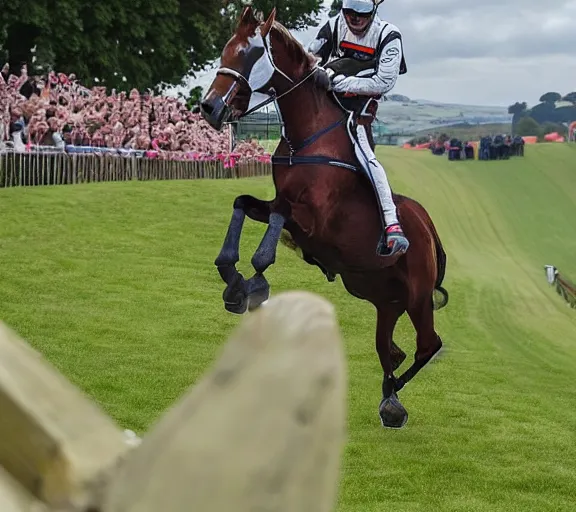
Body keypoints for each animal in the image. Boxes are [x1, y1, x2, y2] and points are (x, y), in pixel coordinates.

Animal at [200, 7, 448, 428]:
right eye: (225, 50)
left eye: (252, 54)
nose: (210, 107)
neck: (306, 140)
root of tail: (429, 228)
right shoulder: (278, 204)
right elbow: (242, 203)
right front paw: (232, 277)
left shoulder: (312, 222)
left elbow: (272, 232)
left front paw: (254, 283)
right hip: (378, 294)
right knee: (391, 350)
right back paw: (389, 393)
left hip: (417, 296)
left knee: (427, 346)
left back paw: (392, 403)